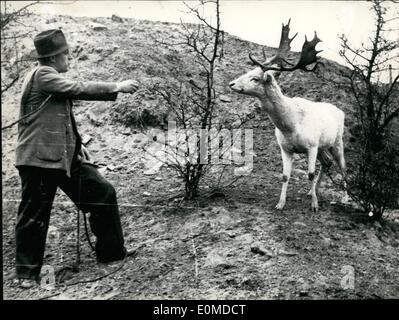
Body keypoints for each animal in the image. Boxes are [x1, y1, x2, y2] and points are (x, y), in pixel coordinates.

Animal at [230, 18, 348, 211]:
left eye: (255, 78)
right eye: (249, 72)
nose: (231, 83)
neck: (290, 125)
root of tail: (340, 111)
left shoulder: (312, 145)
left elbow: (309, 173)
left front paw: (314, 206)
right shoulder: (285, 147)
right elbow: (285, 176)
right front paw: (280, 204)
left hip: (337, 141)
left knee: (343, 167)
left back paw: (344, 198)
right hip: (323, 146)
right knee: (327, 162)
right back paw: (311, 191)